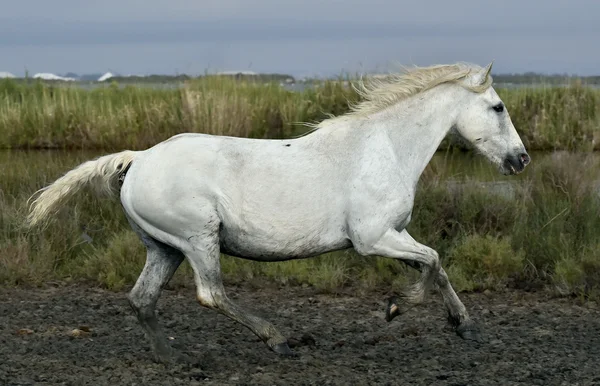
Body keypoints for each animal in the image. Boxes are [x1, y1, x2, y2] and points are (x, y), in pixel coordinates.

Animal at [28, 61, 528, 364]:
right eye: (498, 106)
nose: (521, 159)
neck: (384, 148)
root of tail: (138, 159)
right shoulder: (374, 238)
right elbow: (434, 262)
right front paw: (400, 308)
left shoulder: (395, 235)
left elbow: (434, 267)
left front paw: (459, 325)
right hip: (198, 239)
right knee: (211, 294)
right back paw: (278, 338)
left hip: (163, 248)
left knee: (142, 299)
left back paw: (173, 358)